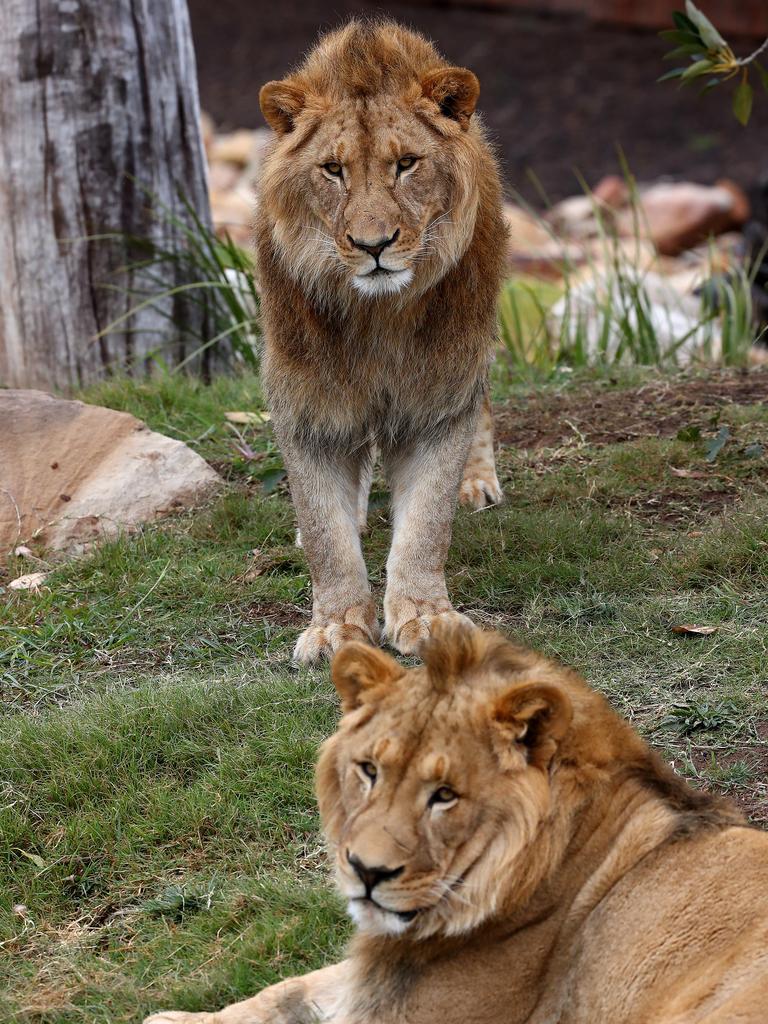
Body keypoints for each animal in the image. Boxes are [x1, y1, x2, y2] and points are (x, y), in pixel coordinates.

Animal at [249, 18, 507, 663]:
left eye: (407, 164)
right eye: (333, 169)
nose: (373, 245)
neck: (377, 317)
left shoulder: (440, 398)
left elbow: (426, 525)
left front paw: (425, 617)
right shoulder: (307, 402)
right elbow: (325, 533)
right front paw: (337, 627)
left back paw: (477, 482)